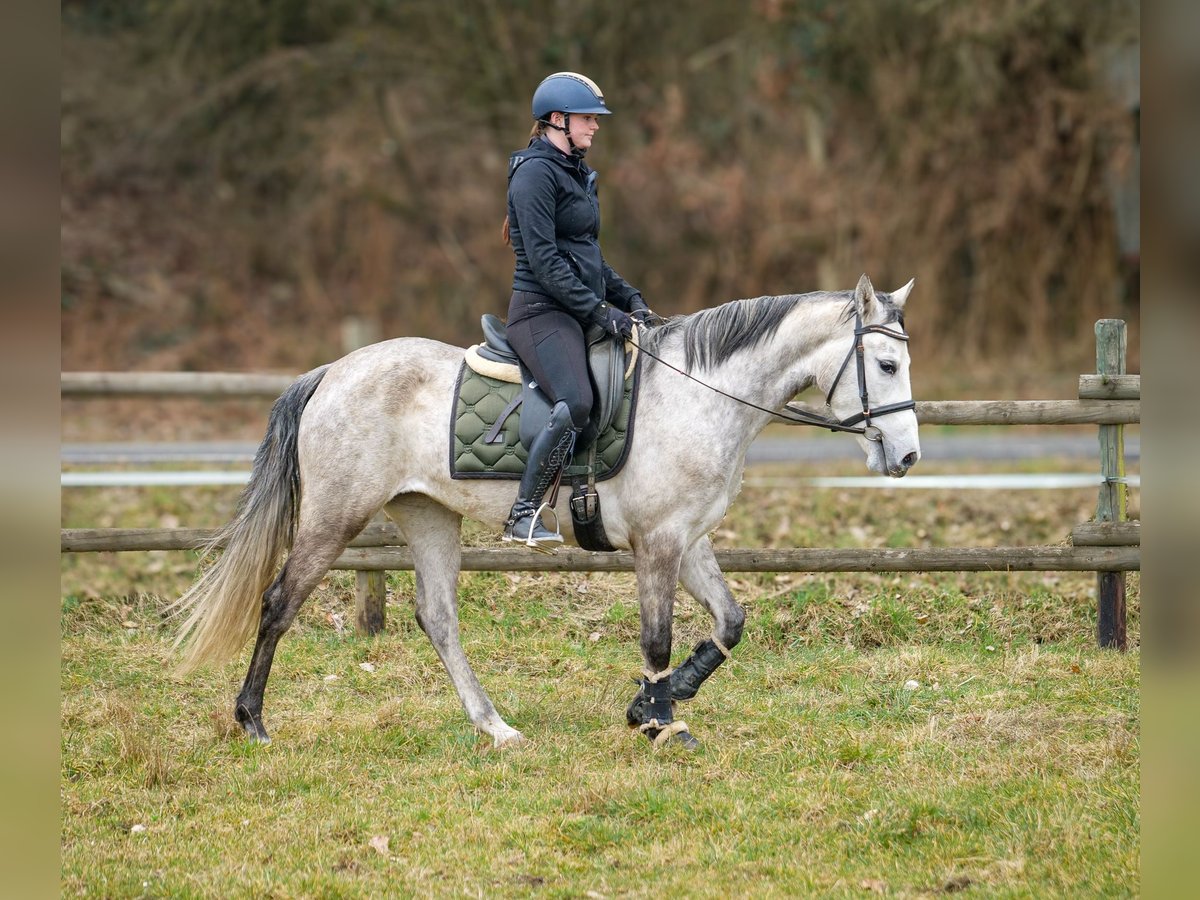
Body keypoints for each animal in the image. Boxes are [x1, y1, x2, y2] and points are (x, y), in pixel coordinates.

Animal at [171, 271, 916, 748]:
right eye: (885, 365)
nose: (906, 458)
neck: (701, 392)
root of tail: (332, 372)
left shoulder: (689, 539)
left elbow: (730, 623)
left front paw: (661, 701)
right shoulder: (658, 543)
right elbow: (657, 639)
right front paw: (660, 721)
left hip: (427, 514)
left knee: (438, 617)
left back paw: (495, 728)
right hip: (335, 516)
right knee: (279, 603)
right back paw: (253, 721)